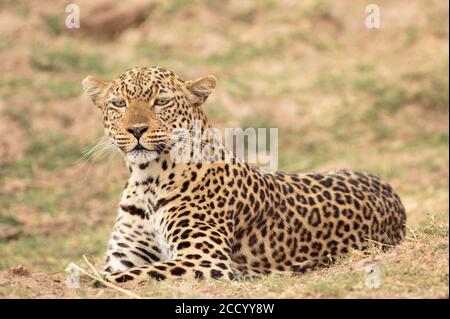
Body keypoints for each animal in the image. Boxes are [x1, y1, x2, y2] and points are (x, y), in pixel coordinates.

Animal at [81, 65, 408, 284]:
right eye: (118, 103)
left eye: (161, 101)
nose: (135, 130)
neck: (146, 180)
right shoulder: (124, 257)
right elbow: (116, 273)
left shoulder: (204, 260)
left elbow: (116, 278)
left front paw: (86, 282)